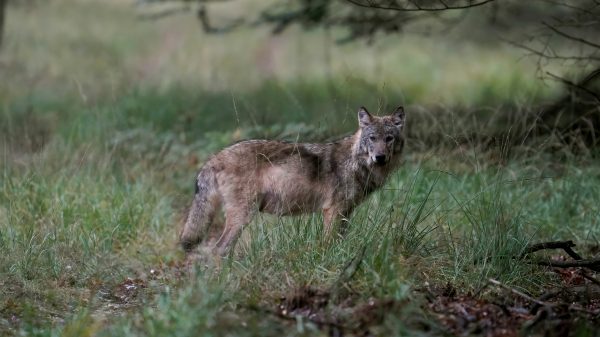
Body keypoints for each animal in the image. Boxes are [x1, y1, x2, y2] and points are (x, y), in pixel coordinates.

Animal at [180, 105, 406, 255]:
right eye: (372, 138)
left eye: (389, 138)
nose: (380, 157)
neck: (355, 163)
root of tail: (215, 157)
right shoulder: (332, 210)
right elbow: (329, 243)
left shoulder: (346, 212)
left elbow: (340, 241)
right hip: (243, 216)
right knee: (219, 250)